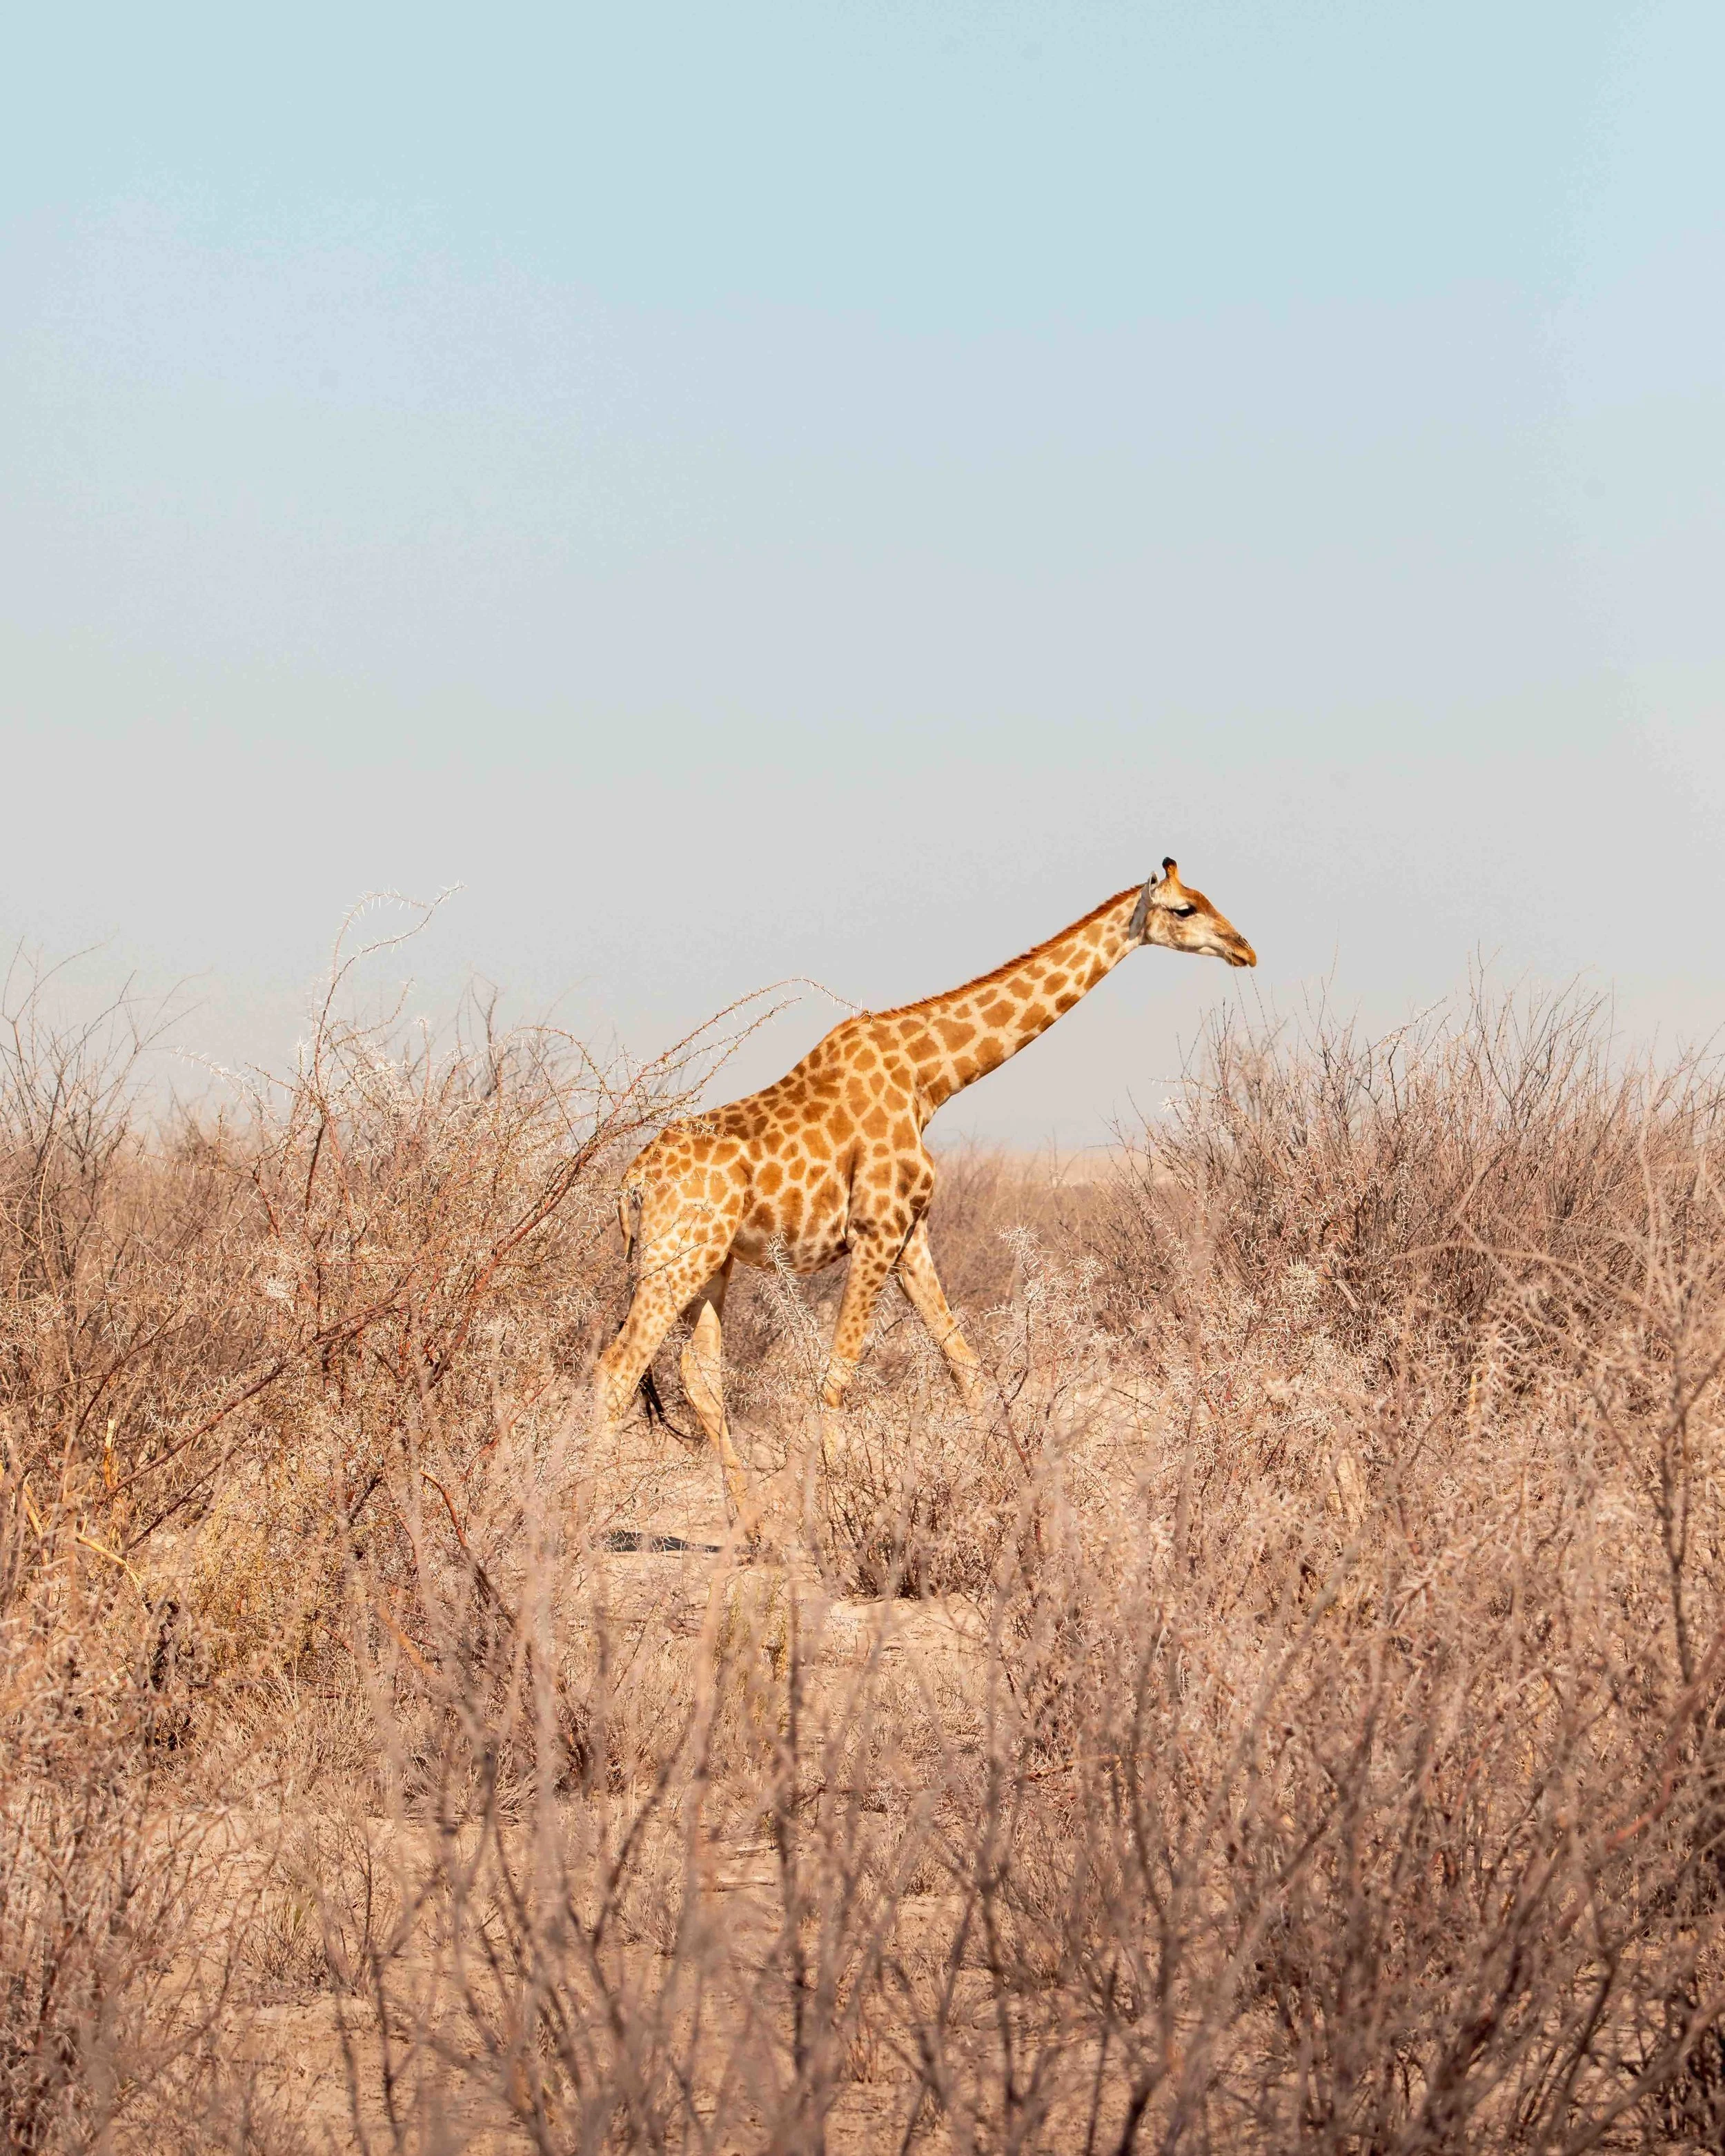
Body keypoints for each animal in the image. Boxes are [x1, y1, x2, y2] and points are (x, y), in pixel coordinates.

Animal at [593, 859, 1256, 1518]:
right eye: (1185, 909)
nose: (1244, 948)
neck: (930, 1077)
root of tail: (633, 1179)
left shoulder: (911, 1234)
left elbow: (966, 1367)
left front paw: (998, 1487)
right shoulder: (875, 1229)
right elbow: (838, 1374)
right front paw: (836, 1511)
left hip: (711, 1261)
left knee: (697, 1374)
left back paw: (749, 1523)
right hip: (676, 1258)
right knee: (618, 1367)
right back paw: (586, 1513)